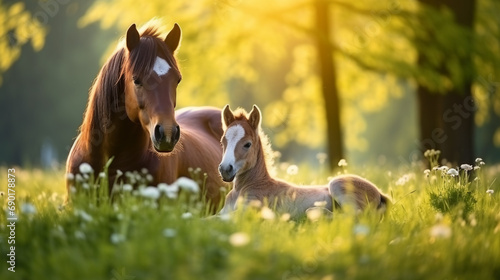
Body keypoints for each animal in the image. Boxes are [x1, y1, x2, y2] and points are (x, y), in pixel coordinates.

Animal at [218, 104, 390, 219]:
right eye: (223, 141)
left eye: (247, 144)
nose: (225, 169)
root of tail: (380, 193)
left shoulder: (247, 212)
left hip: (337, 184)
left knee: (354, 217)